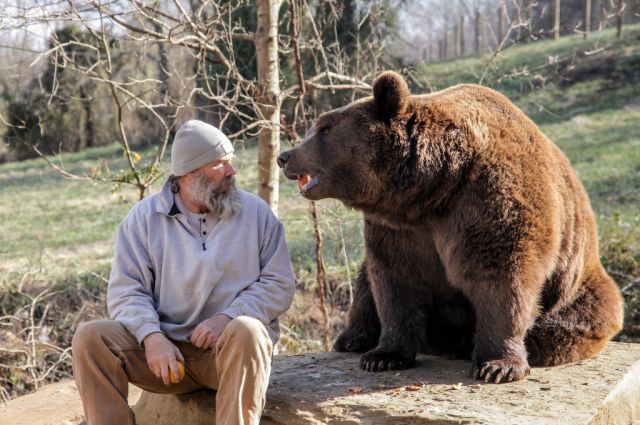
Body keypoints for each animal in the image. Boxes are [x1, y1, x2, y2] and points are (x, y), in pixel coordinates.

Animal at [276, 71, 624, 383]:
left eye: (324, 128)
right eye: (316, 126)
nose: (285, 156)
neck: (434, 189)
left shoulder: (489, 201)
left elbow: (502, 278)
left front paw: (498, 366)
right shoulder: (398, 229)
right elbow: (393, 281)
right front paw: (383, 355)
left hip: (578, 286)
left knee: (570, 322)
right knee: (364, 284)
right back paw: (354, 338)